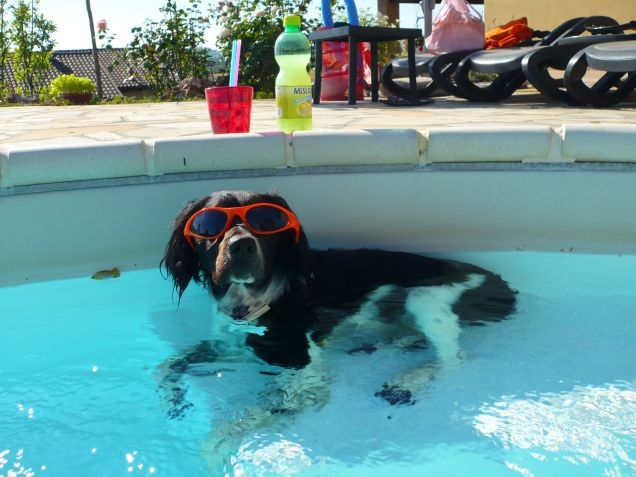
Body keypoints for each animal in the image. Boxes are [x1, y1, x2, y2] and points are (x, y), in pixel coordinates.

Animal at [159, 190, 516, 468]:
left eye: (267, 223)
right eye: (208, 226)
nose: (242, 246)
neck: (259, 299)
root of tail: (504, 287)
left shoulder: (305, 368)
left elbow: (237, 420)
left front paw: (217, 450)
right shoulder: (229, 343)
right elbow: (165, 366)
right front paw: (173, 399)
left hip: (425, 298)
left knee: (454, 360)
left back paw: (406, 380)